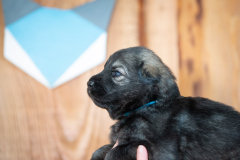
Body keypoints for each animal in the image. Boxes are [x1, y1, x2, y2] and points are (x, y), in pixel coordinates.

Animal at [87, 46, 240, 160]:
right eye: (104, 68)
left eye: (117, 73)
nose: (89, 83)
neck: (147, 105)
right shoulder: (120, 141)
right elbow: (100, 150)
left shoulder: (155, 150)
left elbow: (112, 154)